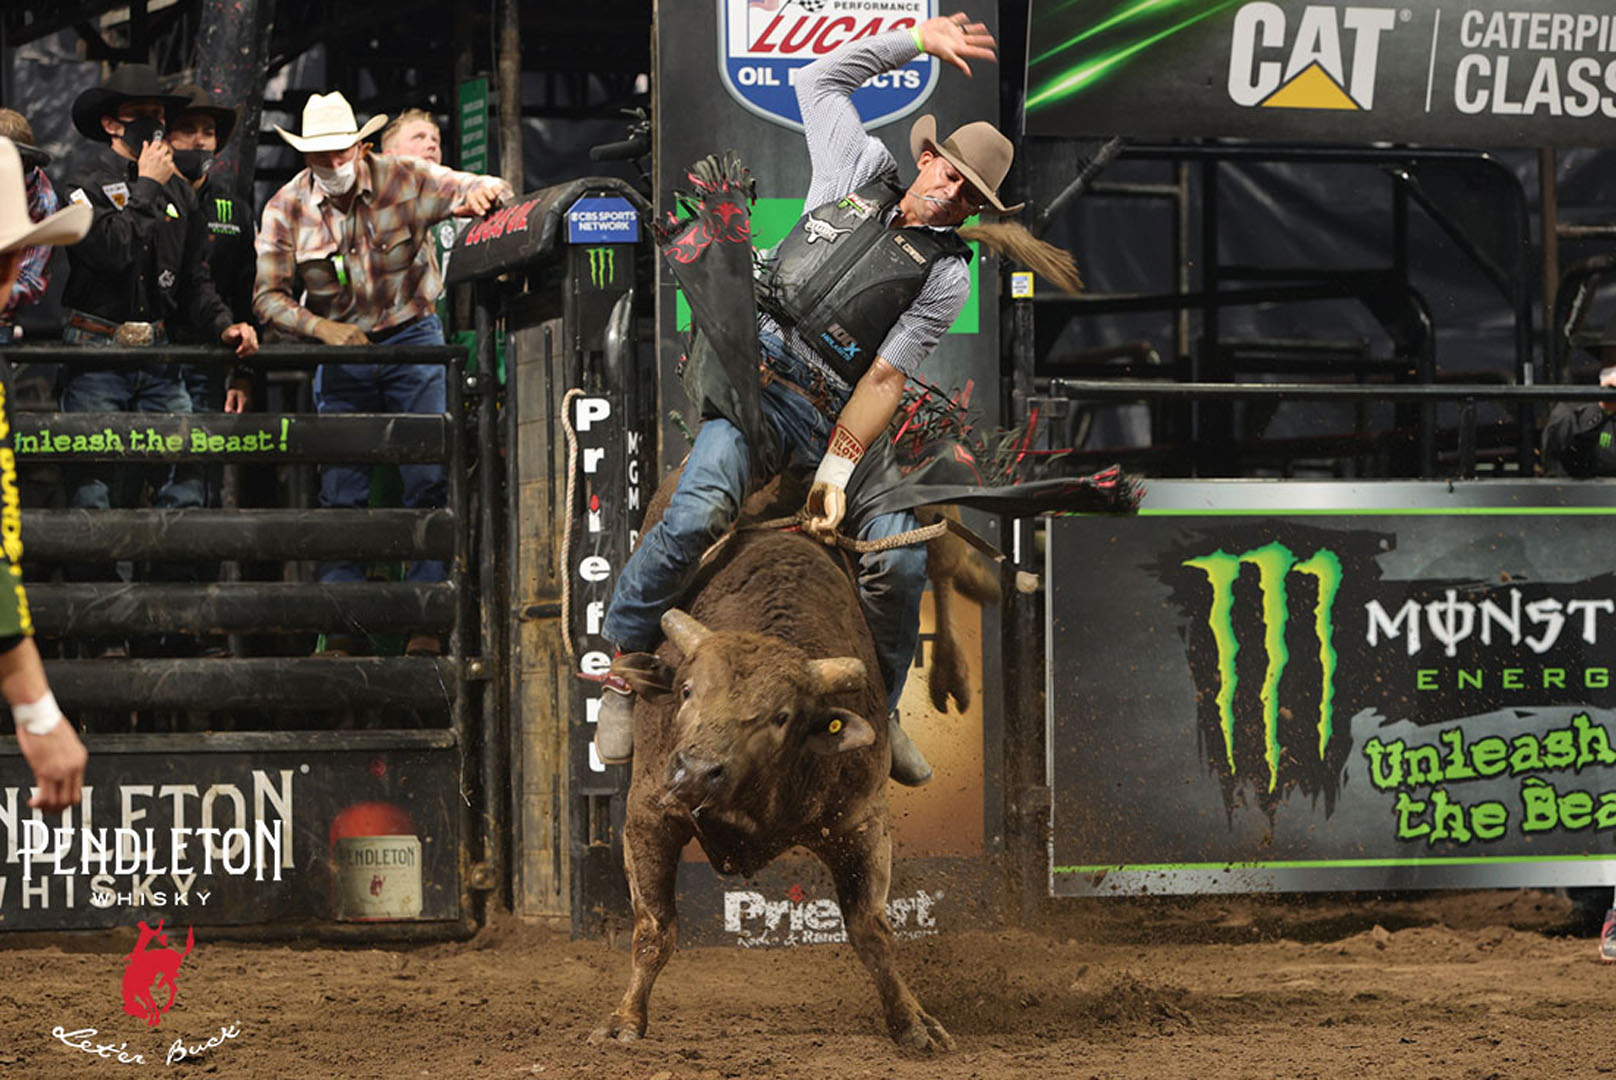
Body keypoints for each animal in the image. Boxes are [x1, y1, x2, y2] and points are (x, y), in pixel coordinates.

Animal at [589, 478, 958, 1053]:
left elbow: (872, 930)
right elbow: (654, 928)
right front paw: (624, 1020)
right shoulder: (649, 811)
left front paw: (914, 1021)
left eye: (782, 715)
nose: (695, 771)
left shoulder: (861, 823)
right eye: (687, 690)